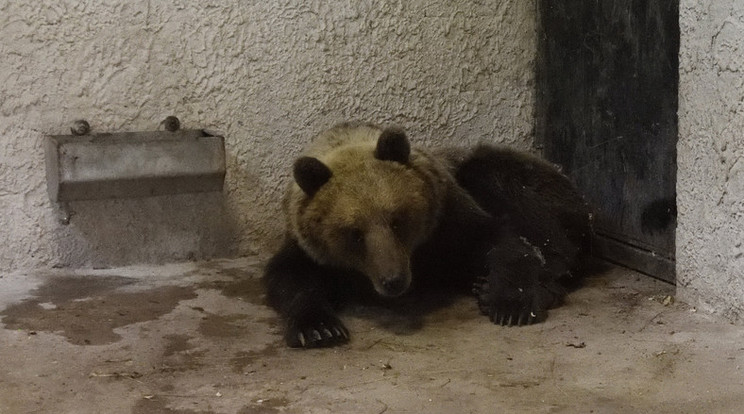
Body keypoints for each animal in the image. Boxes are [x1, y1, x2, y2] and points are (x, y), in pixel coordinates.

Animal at [264, 121, 592, 348]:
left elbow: (501, 241)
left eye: (397, 220)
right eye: (354, 233)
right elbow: (290, 278)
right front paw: (319, 329)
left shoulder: (447, 221)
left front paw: (508, 302)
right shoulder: (309, 249)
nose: (393, 280)